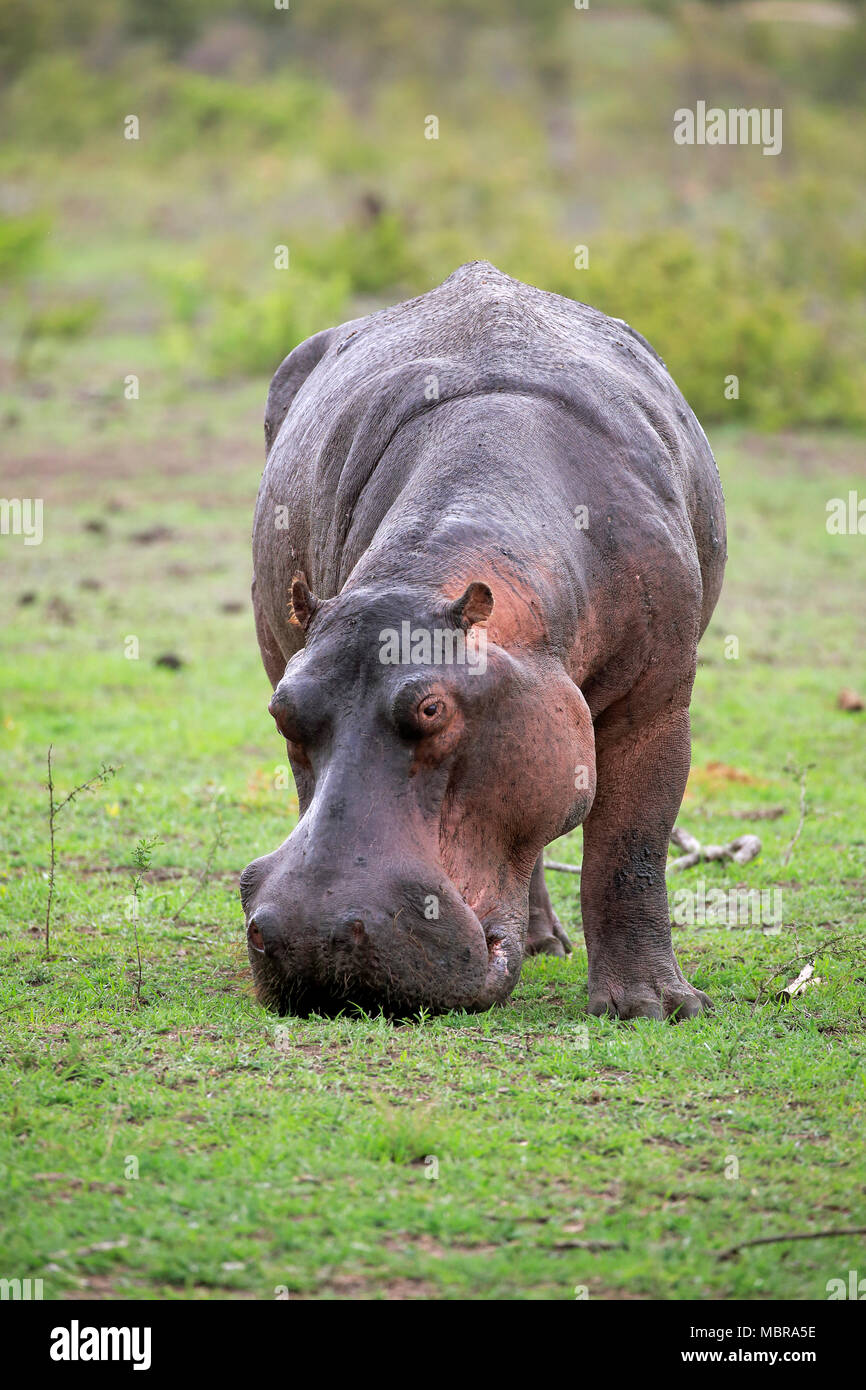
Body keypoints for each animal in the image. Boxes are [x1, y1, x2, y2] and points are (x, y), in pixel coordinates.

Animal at [240, 262, 728, 1023]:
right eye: (282, 712)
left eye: (433, 708)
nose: (311, 937)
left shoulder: (656, 702)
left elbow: (632, 849)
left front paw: (654, 1008)